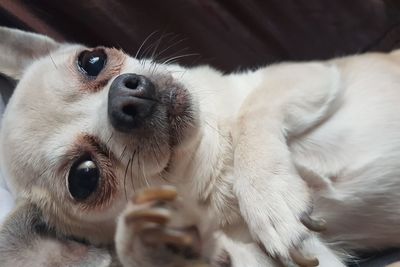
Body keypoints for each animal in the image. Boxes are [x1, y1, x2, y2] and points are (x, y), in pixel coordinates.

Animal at [0, 25, 400, 267]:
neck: (211, 157)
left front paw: (269, 196)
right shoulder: (310, 255)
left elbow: (250, 114)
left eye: (92, 60)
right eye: (84, 178)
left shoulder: (308, 75)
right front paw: (154, 247)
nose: (123, 99)